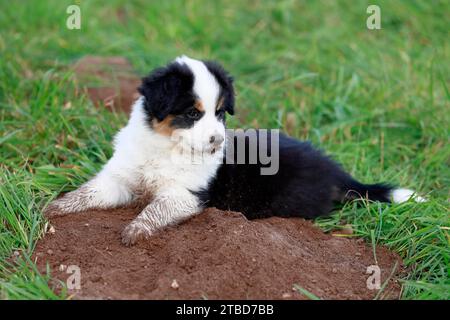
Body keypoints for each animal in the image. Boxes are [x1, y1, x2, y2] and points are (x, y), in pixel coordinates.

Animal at [46, 55, 426, 245]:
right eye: (192, 113)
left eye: (219, 113)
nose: (217, 141)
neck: (165, 146)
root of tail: (335, 171)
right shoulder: (120, 177)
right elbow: (89, 191)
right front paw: (56, 207)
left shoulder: (185, 195)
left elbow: (155, 210)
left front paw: (135, 231)